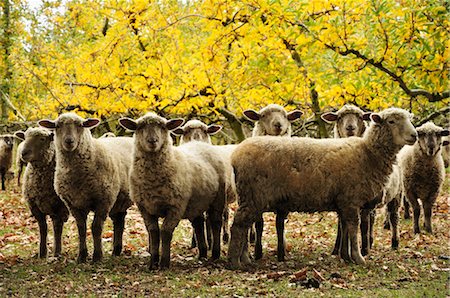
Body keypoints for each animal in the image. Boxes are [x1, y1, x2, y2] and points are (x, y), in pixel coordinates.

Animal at [14, 128, 69, 258]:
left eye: (42, 139)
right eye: (24, 137)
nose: (23, 153)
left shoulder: (60, 207)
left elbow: (57, 228)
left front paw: (57, 252)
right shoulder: (34, 206)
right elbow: (43, 228)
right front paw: (42, 253)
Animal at [38, 114, 134, 264]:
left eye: (80, 125)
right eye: (57, 126)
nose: (69, 141)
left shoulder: (103, 201)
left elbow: (96, 228)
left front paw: (97, 256)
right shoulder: (74, 204)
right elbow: (81, 229)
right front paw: (81, 256)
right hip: (119, 199)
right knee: (119, 221)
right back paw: (116, 251)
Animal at [118, 112, 229, 270]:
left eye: (163, 127)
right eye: (140, 127)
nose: (152, 141)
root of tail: (200, 144)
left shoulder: (176, 206)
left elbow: (165, 231)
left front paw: (164, 263)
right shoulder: (144, 207)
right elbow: (153, 232)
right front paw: (153, 263)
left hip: (218, 198)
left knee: (216, 223)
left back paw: (215, 254)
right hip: (196, 202)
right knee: (198, 223)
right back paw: (202, 254)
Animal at [229, 107, 418, 268]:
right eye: (391, 121)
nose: (414, 135)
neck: (368, 154)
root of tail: (235, 155)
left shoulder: (343, 202)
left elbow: (345, 228)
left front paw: (345, 256)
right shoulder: (351, 200)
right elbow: (353, 228)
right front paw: (358, 258)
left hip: (248, 197)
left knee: (244, 226)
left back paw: (245, 259)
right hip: (253, 196)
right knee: (238, 225)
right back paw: (235, 262)